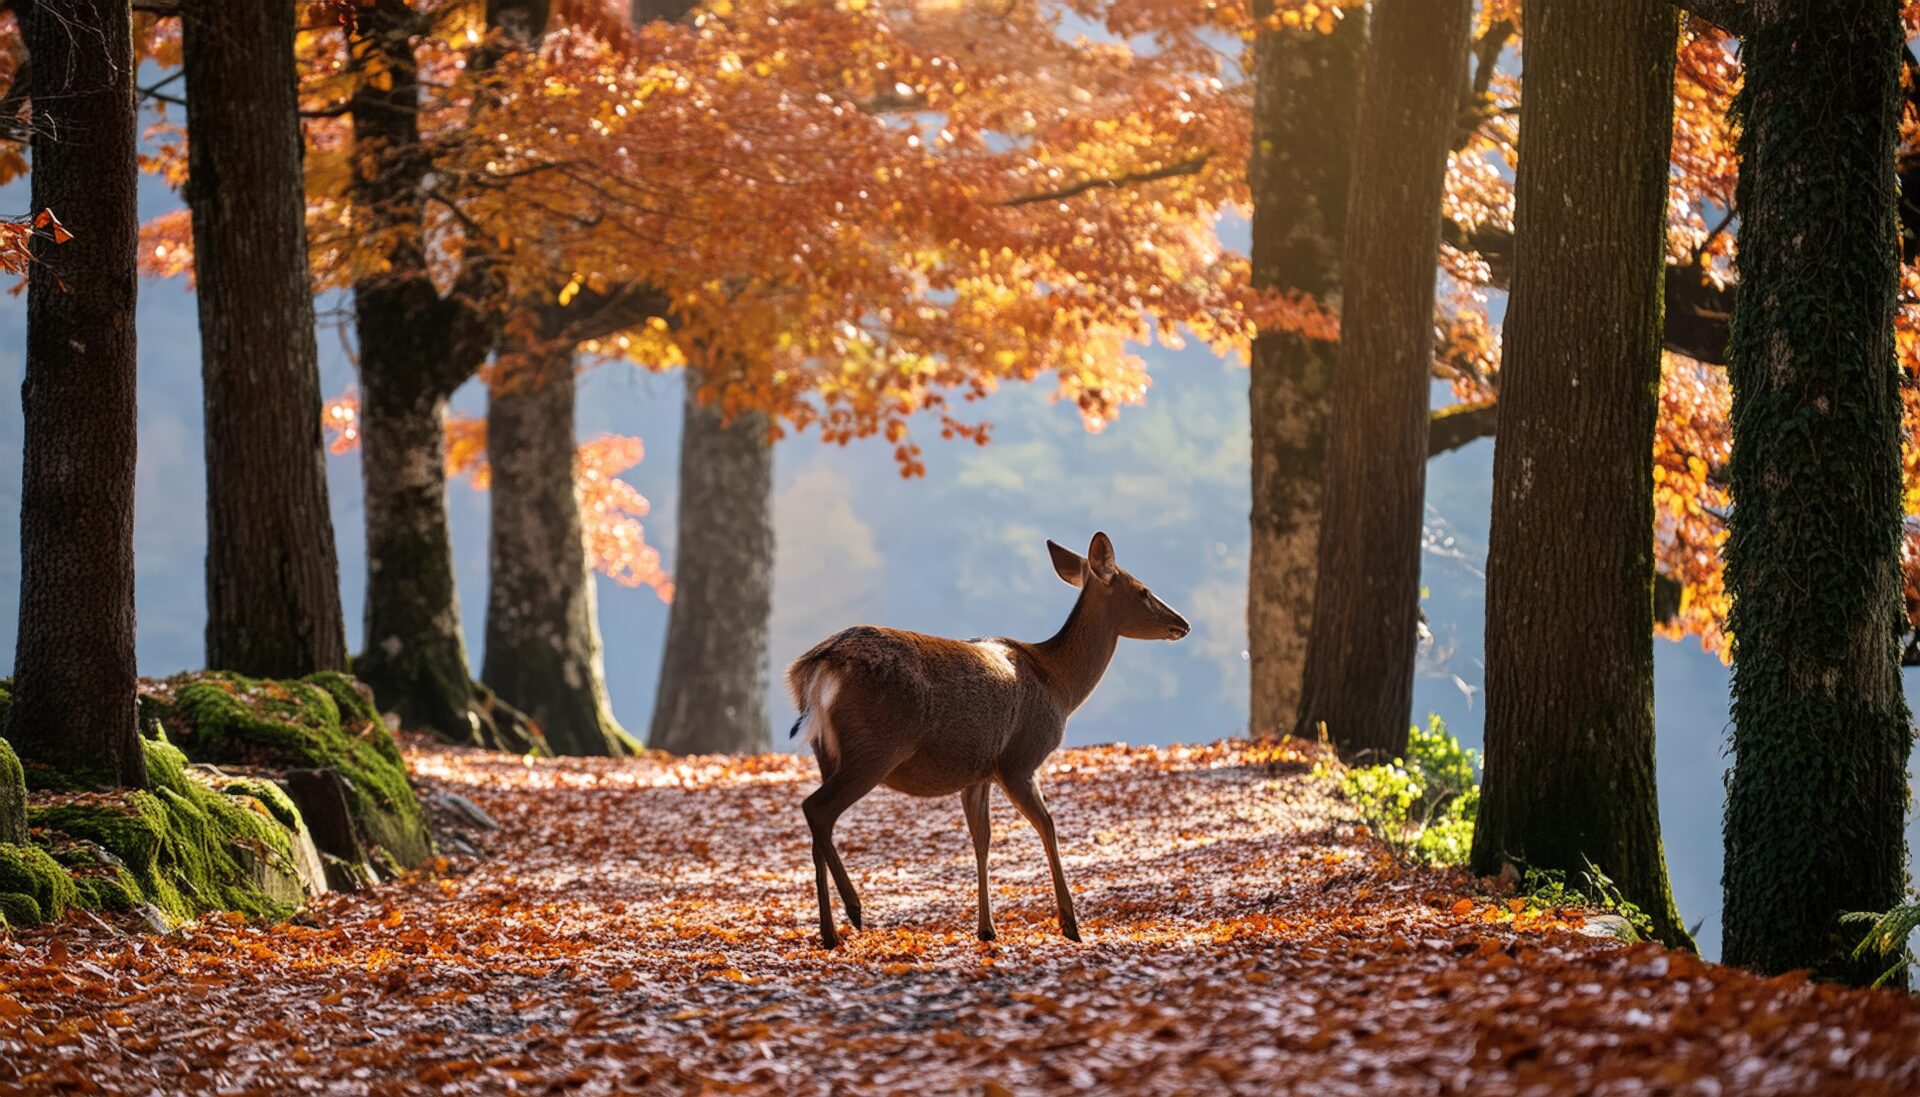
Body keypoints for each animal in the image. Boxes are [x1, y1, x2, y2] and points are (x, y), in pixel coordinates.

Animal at [786, 531, 1190, 948]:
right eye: (1143, 590)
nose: (1183, 623)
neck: (1059, 685)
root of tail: (817, 667)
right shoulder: (1019, 761)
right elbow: (1047, 826)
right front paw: (1070, 924)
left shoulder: (978, 772)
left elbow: (982, 840)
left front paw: (986, 928)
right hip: (876, 747)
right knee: (817, 808)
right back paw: (849, 914)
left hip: (826, 751)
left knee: (819, 826)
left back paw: (835, 927)